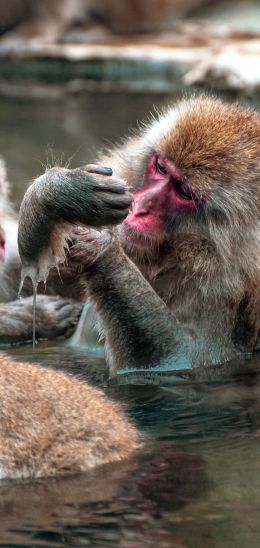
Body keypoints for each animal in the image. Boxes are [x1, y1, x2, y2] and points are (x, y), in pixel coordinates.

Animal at [18, 96, 260, 378]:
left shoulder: (225, 291)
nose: (139, 205)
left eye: (183, 192)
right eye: (161, 168)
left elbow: (179, 359)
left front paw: (101, 248)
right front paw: (59, 192)